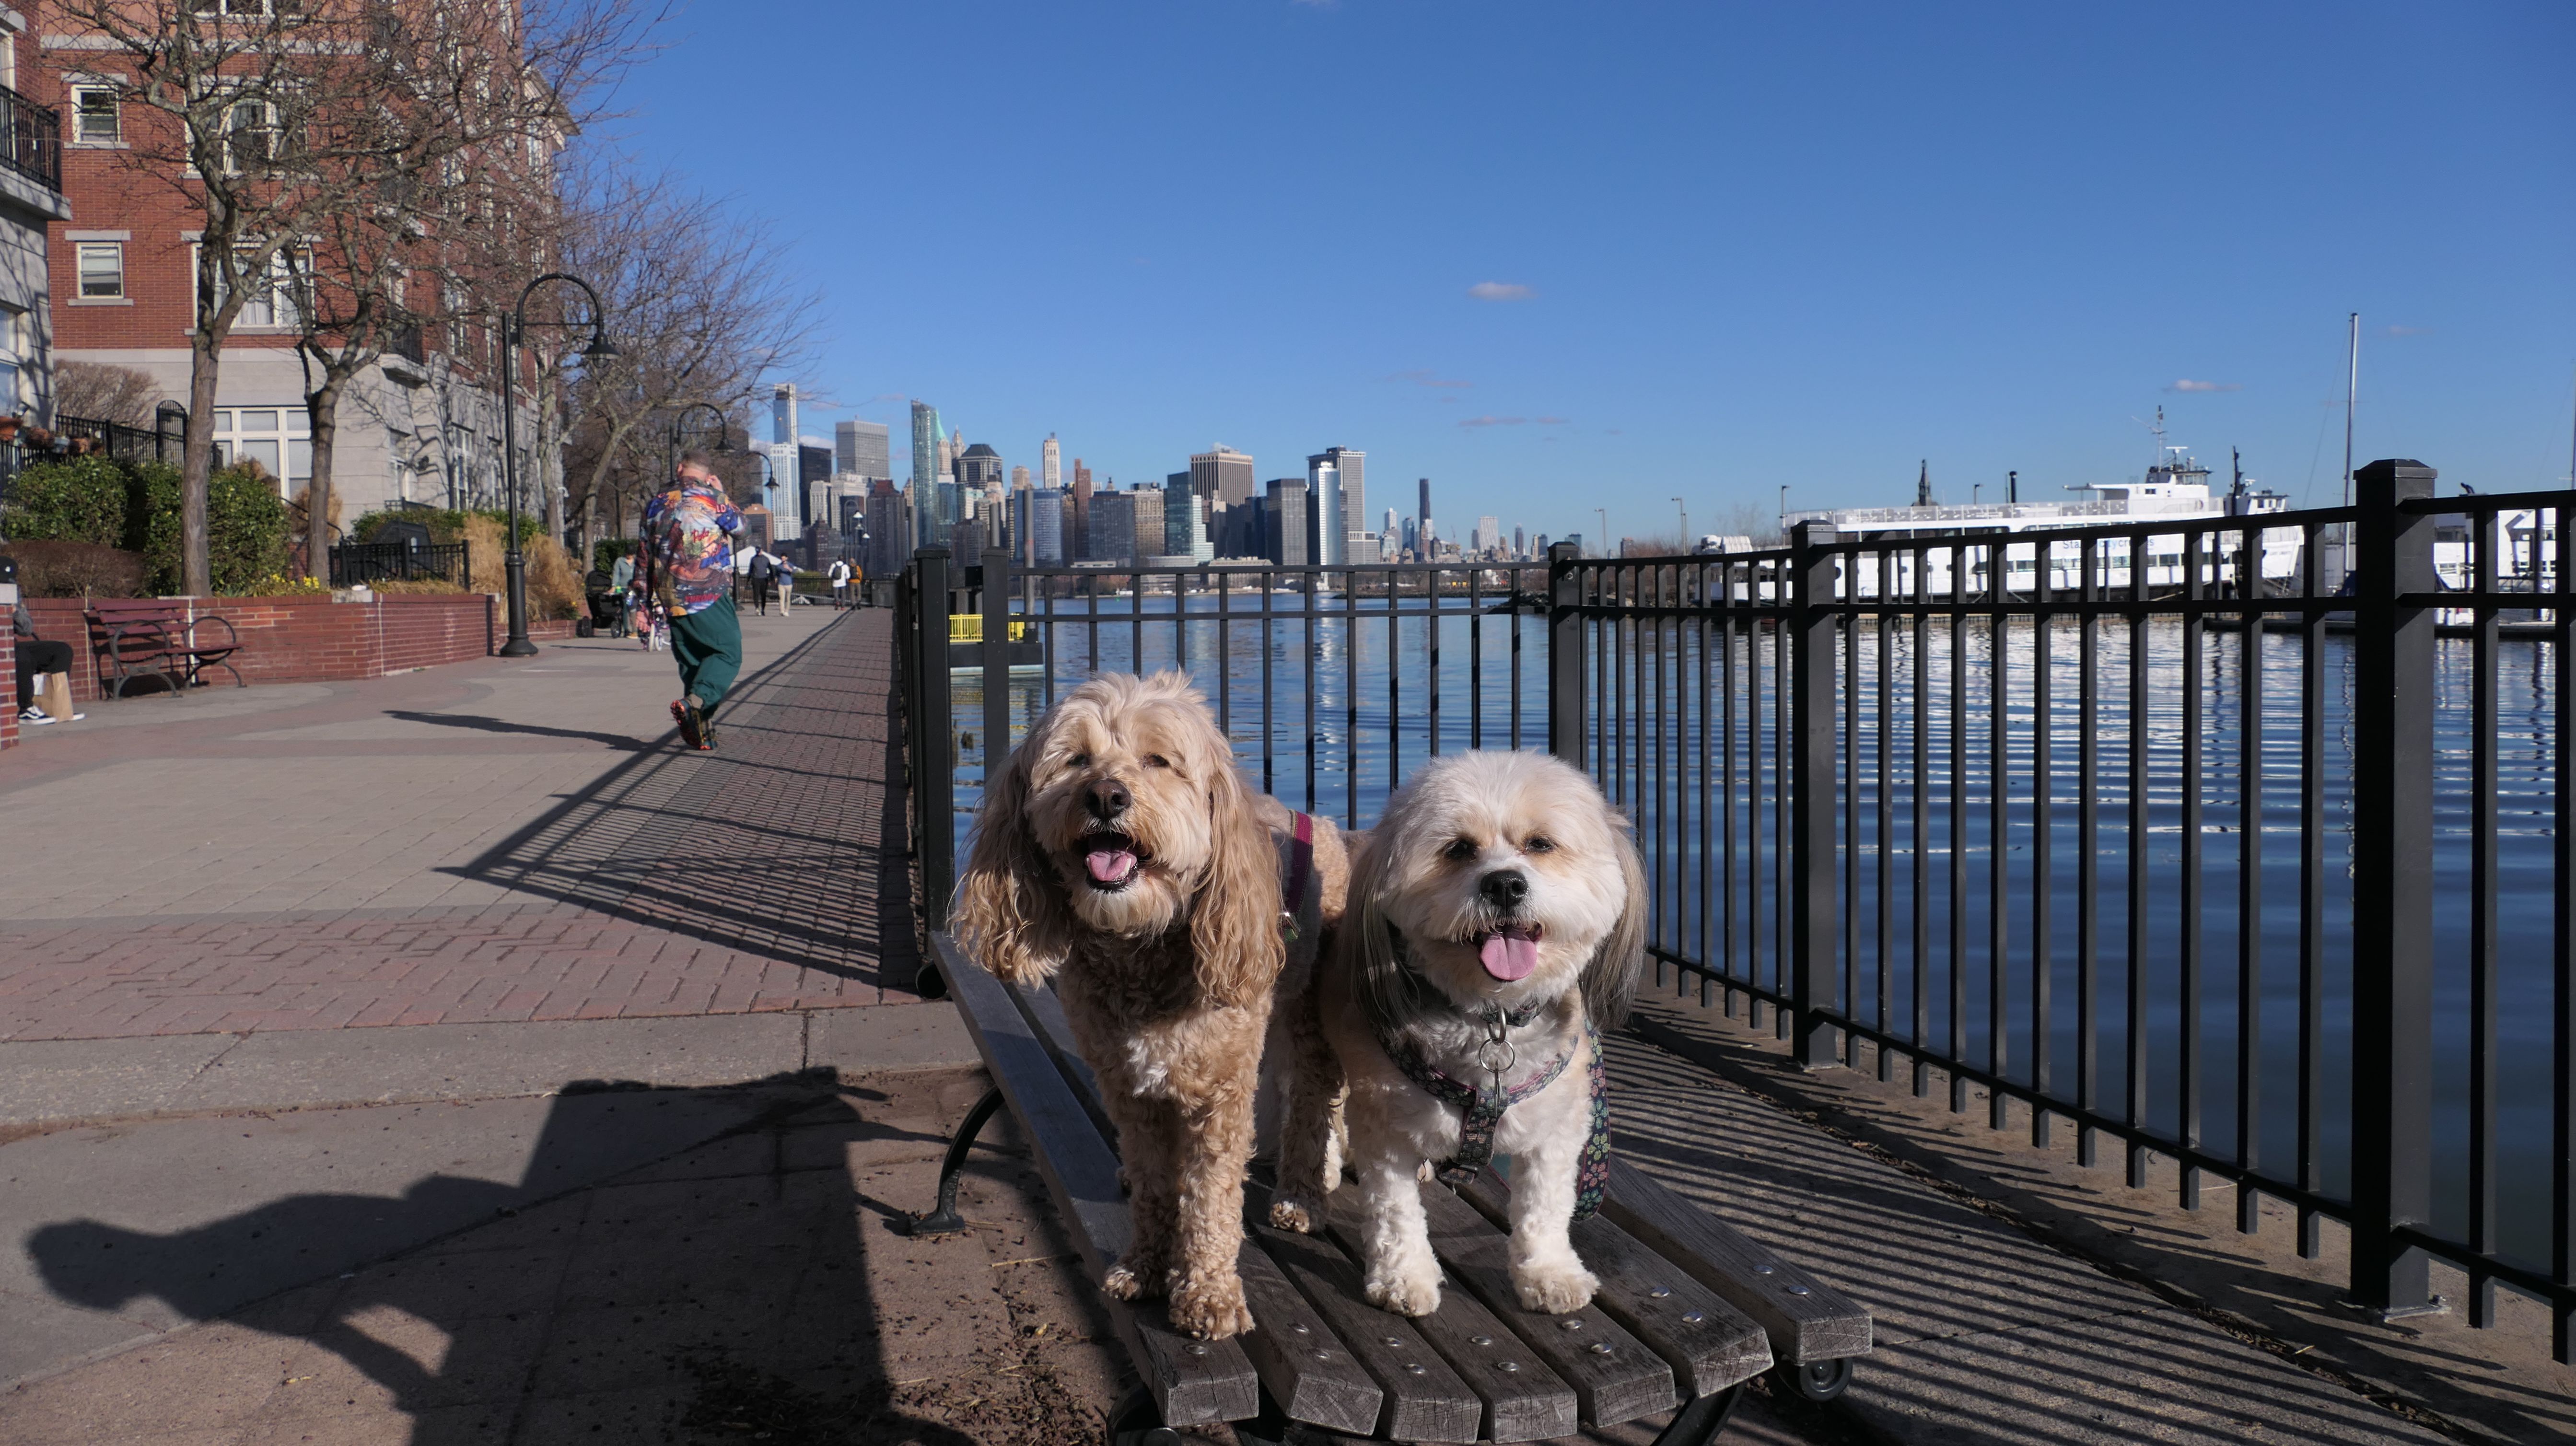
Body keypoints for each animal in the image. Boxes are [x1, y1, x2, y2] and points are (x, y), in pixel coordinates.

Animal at [954, 671, 1349, 1339]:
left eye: (1158, 761)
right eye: (1075, 759)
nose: (1106, 796)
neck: (1140, 944)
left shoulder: (1220, 1091)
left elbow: (1210, 1196)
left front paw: (1208, 1293)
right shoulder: (1130, 1090)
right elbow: (1156, 1185)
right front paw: (1145, 1265)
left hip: (1309, 1017)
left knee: (1313, 1103)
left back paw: (1303, 1191)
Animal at [1312, 749, 1644, 1318]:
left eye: (1540, 844)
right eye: (1459, 849)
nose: (1505, 883)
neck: (1491, 1019)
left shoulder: (1558, 1126)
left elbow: (1544, 1208)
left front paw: (1548, 1273)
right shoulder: (1384, 1124)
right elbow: (1395, 1212)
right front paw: (1404, 1277)